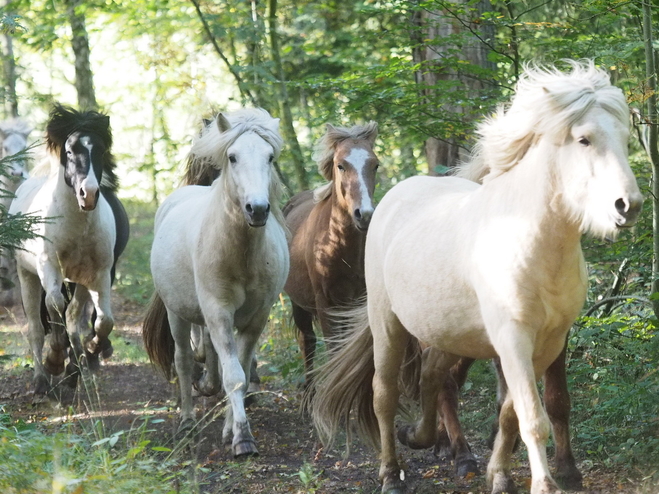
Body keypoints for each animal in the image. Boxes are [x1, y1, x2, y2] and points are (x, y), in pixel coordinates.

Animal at [143, 107, 290, 456]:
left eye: (270, 157)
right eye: (233, 157)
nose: (258, 209)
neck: (242, 255)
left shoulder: (256, 318)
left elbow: (241, 371)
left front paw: (229, 429)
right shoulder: (219, 312)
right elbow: (233, 374)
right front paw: (242, 439)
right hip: (177, 313)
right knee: (183, 360)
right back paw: (186, 420)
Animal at [284, 121, 382, 384]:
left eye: (375, 164)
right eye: (341, 165)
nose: (364, 214)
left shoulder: (357, 304)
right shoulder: (325, 305)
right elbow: (333, 352)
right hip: (299, 306)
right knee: (307, 343)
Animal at [314, 61, 644, 494]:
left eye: (624, 137)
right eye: (584, 139)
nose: (628, 205)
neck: (532, 242)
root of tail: (394, 197)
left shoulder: (548, 342)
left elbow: (512, 413)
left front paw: (500, 475)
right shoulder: (514, 338)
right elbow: (531, 418)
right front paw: (543, 483)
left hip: (450, 333)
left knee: (434, 376)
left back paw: (423, 437)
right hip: (388, 324)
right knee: (384, 395)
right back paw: (391, 472)